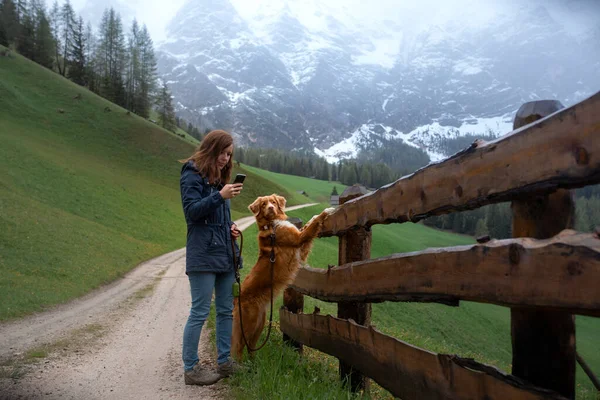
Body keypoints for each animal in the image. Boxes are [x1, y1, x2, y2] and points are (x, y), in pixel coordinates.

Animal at [230, 194, 332, 360]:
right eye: (263, 204)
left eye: (273, 202)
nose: (271, 208)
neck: (272, 225)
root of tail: (236, 299)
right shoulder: (299, 239)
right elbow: (313, 224)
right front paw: (327, 210)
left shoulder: (301, 247)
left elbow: (309, 224)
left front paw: (315, 215)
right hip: (248, 323)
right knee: (238, 347)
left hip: (260, 324)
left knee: (251, 347)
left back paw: (254, 364)